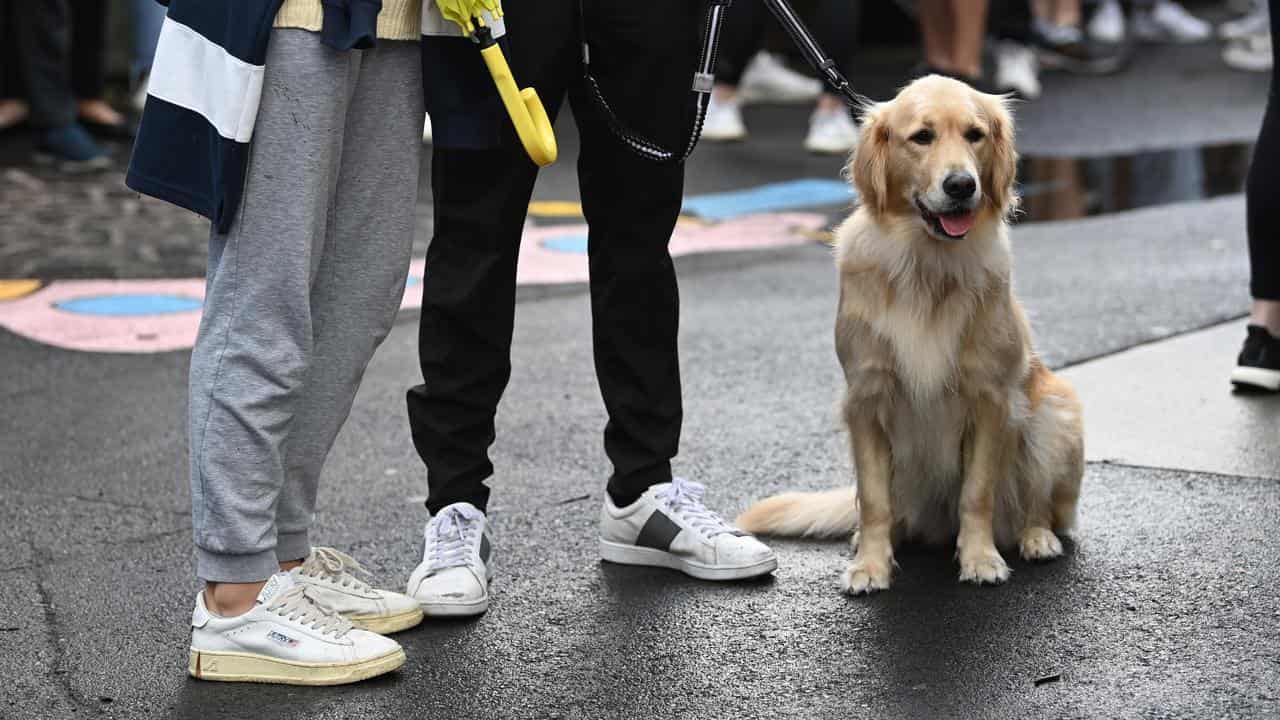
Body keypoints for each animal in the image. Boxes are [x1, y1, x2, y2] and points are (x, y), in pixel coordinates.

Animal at [742, 75, 1080, 594]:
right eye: (922, 137)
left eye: (975, 135)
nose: (961, 185)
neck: (927, 265)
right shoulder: (865, 398)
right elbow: (874, 500)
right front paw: (870, 566)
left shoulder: (991, 399)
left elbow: (977, 493)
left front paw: (980, 558)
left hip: (1056, 415)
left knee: (1039, 505)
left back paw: (1036, 536)